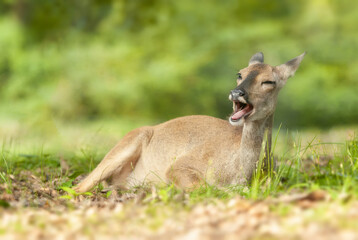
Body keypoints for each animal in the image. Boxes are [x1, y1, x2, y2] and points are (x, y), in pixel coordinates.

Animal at [75, 51, 304, 192]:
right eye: (240, 74)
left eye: (269, 81)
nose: (236, 92)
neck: (241, 173)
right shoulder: (180, 164)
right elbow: (203, 186)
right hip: (130, 140)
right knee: (81, 185)